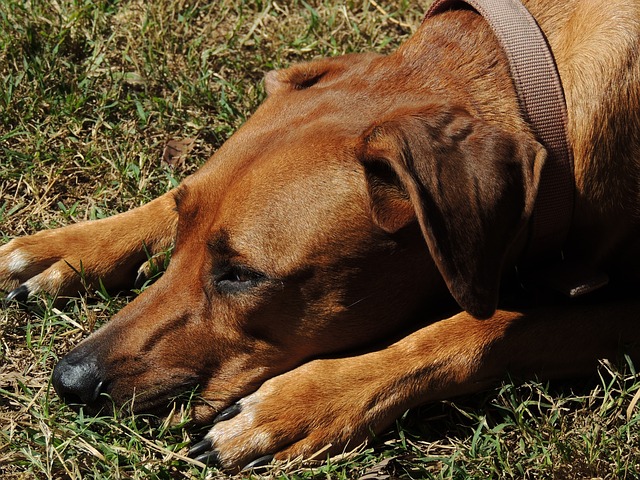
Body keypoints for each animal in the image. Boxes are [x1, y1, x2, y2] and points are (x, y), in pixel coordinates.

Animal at [1, 0, 640, 470]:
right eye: (183, 232)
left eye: (242, 275)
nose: (69, 381)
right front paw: (69, 251)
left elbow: (485, 328)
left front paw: (297, 407)